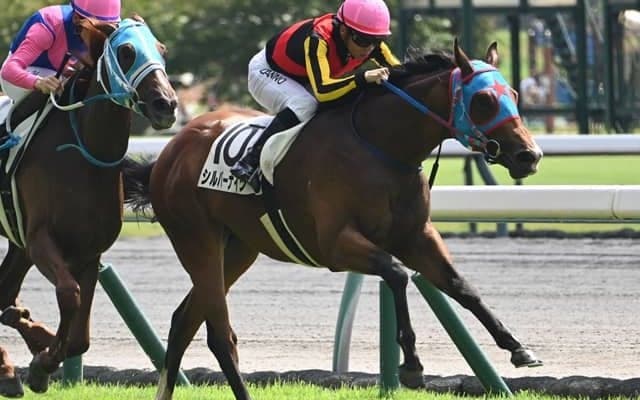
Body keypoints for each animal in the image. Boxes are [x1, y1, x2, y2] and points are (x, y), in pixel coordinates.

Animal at [0, 16, 177, 397]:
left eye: (162, 50)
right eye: (126, 52)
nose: (166, 105)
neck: (82, 156)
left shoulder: (88, 252)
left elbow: (80, 339)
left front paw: (41, 356)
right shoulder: (40, 240)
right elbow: (70, 295)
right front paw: (41, 363)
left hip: (18, 244)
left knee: (5, 290)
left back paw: (8, 367)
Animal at [123, 40, 543, 400]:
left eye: (514, 95)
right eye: (484, 100)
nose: (530, 155)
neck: (381, 147)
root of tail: (171, 151)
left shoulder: (416, 237)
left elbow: (461, 286)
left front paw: (518, 349)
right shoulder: (336, 245)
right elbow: (397, 274)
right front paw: (411, 365)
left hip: (239, 248)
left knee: (184, 321)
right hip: (196, 240)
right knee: (218, 334)